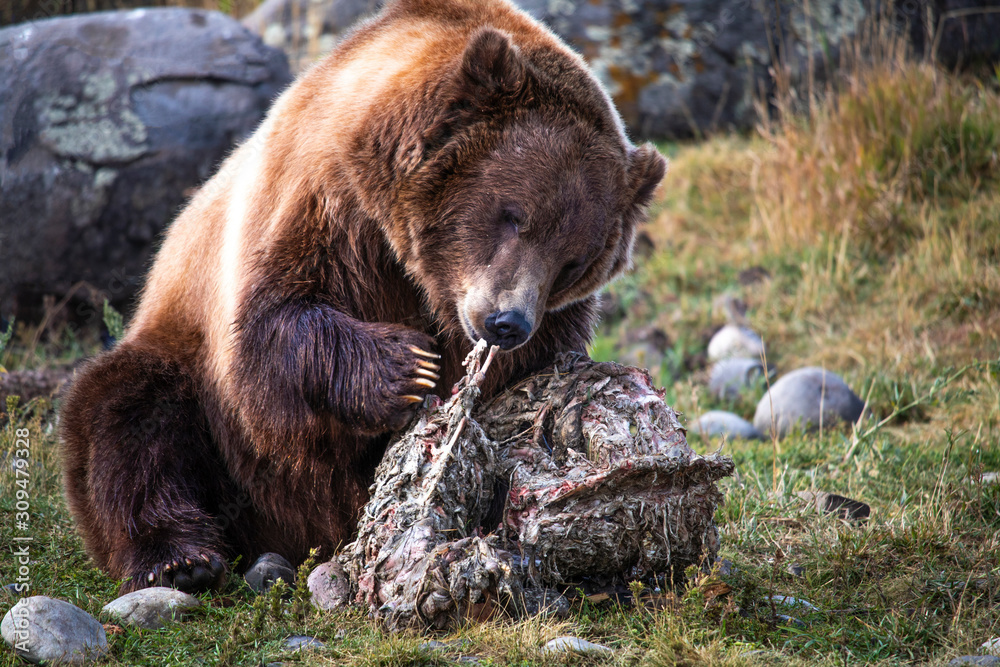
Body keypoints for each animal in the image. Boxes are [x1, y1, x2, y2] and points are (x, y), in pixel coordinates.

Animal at [59, 0, 667, 594]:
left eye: (574, 261)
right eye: (513, 215)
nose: (507, 321)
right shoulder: (318, 207)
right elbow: (267, 337)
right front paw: (409, 367)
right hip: (187, 375)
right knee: (127, 413)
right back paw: (179, 558)